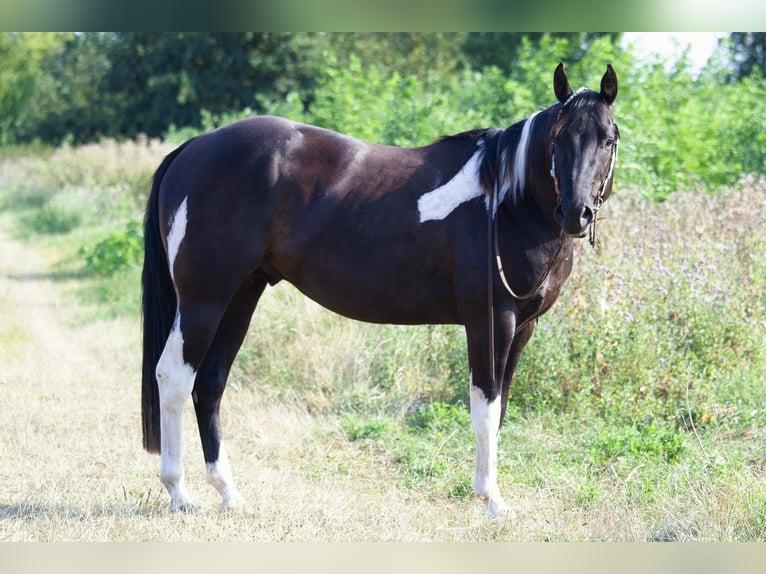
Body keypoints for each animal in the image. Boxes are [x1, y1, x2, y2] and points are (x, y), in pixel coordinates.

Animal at [141, 63, 619, 516]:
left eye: (608, 139)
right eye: (558, 139)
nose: (575, 213)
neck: (506, 203)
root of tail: (193, 148)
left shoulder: (522, 327)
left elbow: (499, 409)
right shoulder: (491, 321)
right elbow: (484, 408)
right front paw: (492, 501)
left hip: (241, 294)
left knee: (210, 384)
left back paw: (229, 493)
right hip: (205, 298)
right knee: (174, 378)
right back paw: (178, 493)